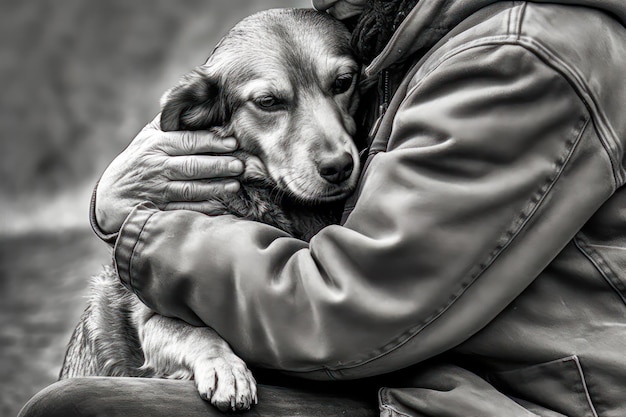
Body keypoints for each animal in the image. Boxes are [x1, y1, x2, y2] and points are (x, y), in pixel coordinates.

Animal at [61, 8, 360, 412]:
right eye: (268, 102)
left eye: (343, 82)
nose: (339, 166)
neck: (262, 198)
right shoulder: (152, 317)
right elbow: (196, 330)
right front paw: (225, 368)